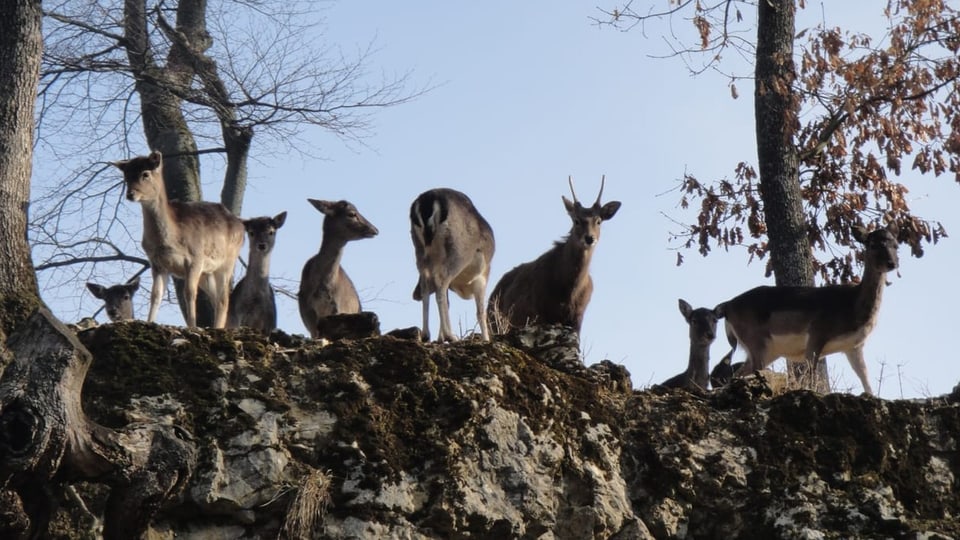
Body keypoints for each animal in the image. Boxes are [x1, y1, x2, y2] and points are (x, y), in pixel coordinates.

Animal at [114, 151, 246, 330]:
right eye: (126, 176)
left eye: (145, 174)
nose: (130, 194)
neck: (170, 240)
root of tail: (242, 226)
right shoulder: (157, 263)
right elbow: (156, 294)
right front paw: (149, 322)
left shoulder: (195, 259)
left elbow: (189, 293)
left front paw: (192, 326)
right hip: (207, 273)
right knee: (217, 297)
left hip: (228, 262)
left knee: (223, 298)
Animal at [408, 189, 496, 342]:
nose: (415, 295)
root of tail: (429, 200)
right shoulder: (481, 278)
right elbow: (480, 312)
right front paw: (486, 339)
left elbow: (448, 302)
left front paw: (440, 338)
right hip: (458, 253)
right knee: (440, 281)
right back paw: (451, 336)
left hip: (420, 251)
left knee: (427, 284)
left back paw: (426, 335)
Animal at [488, 177, 624, 336]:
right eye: (576, 220)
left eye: (599, 221)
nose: (589, 238)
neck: (569, 291)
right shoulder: (543, 312)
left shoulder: (578, 317)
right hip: (496, 324)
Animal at [716, 221, 904, 394]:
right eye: (872, 244)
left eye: (896, 245)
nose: (891, 263)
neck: (852, 308)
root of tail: (726, 306)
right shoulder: (817, 332)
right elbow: (812, 377)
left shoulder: (854, 346)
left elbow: (866, 380)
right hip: (756, 340)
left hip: (768, 350)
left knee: (738, 373)